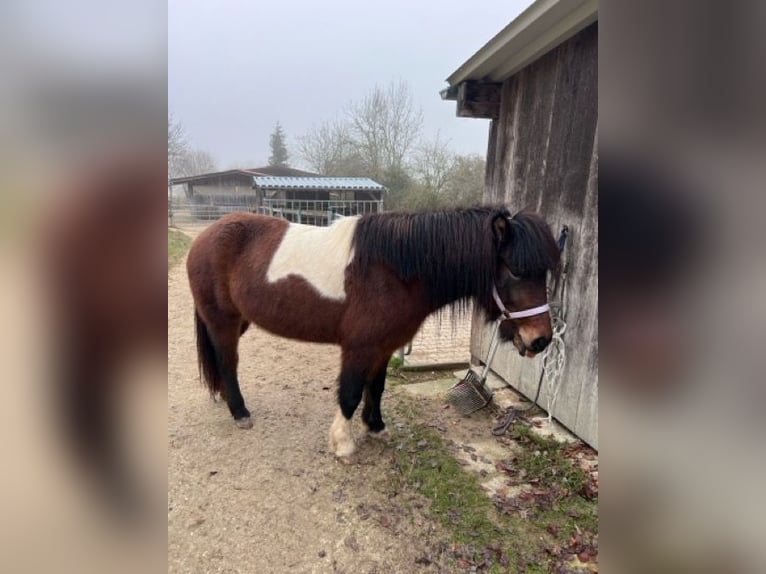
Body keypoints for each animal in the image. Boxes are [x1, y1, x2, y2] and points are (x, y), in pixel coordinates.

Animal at [186, 206, 560, 457]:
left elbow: (375, 388)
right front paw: (343, 444)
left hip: (239, 321)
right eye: (515, 270)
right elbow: (351, 392)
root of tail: (206, 235)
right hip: (222, 321)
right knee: (228, 364)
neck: (394, 270)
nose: (540, 339)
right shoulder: (359, 347)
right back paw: (240, 412)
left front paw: (375, 426)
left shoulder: (384, 346)